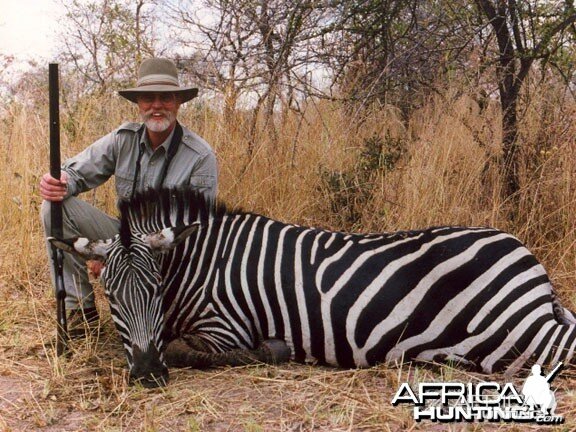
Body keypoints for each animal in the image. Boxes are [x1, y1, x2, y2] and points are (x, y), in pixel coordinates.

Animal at [48, 187, 576, 386]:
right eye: (112, 297)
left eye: (156, 291)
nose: (147, 375)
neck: (201, 265)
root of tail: (524, 252)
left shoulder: (225, 329)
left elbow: (187, 349)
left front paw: (274, 350)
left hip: (516, 336)